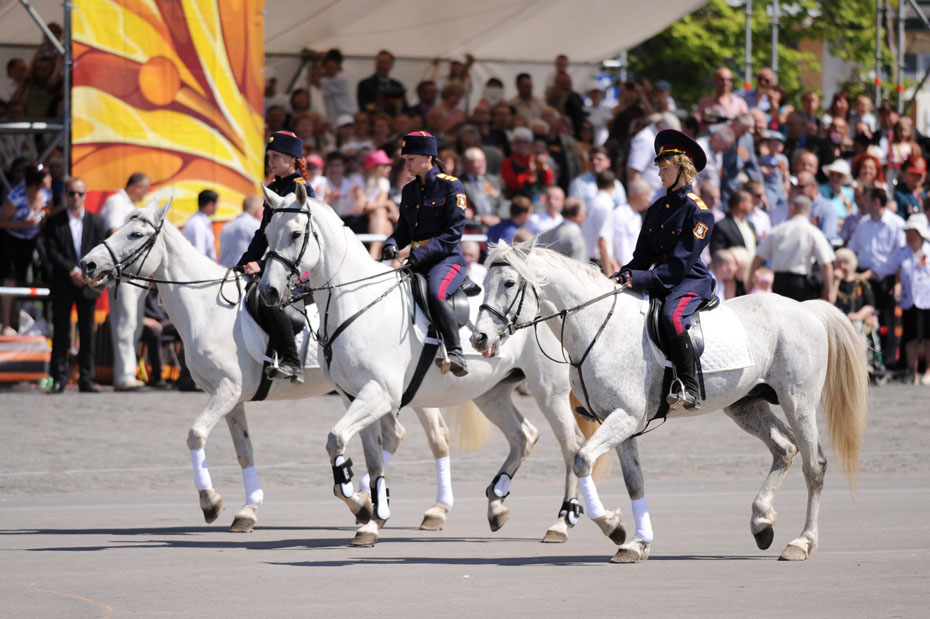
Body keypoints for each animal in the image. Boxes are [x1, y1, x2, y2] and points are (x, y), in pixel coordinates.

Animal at [80, 201, 460, 536]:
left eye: (135, 234)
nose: (87, 264)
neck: (206, 307)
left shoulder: (226, 390)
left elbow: (195, 434)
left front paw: (210, 502)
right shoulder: (232, 398)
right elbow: (244, 451)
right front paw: (248, 510)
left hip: (410, 391)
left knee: (436, 437)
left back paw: (434, 510)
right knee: (394, 436)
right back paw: (371, 502)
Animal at [256, 185, 588, 548]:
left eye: (295, 233)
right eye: (267, 234)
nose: (268, 291)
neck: (358, 303)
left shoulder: (379, 395)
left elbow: (335, 439)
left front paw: (360, 503)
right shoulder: (353, 396)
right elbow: (368, 456)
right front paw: (370, 515)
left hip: (549, 392)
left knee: (572, 446)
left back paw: (561, 522)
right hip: (491, 394)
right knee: (523, 436)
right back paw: (496, 503)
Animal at [472, 245, 872, 564]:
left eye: (509, 284)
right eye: (481, 285)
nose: (479, 338)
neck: (598, 327)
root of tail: (805, 308)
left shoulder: (624, 417)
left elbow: (583, 459)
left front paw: (613, 526)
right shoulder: (620, 422)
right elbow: (635, 482)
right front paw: (636, 542)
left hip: (797, 401)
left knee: (814, 464)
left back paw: (801, 542)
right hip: (746, 405)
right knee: (785, 448)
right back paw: (761, 523)